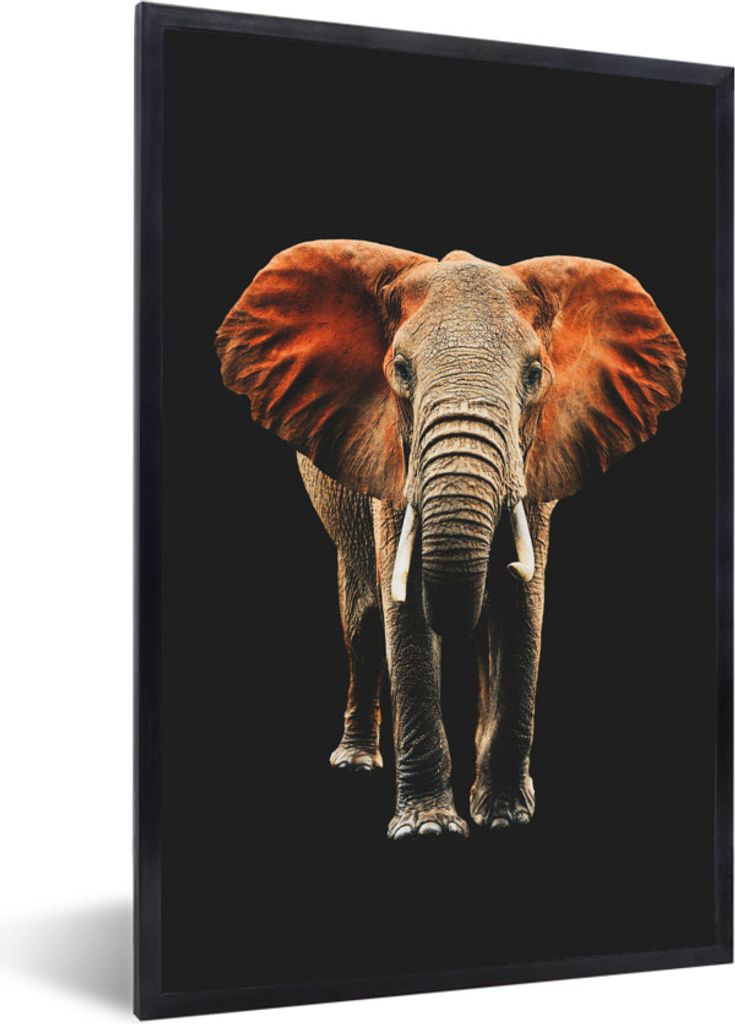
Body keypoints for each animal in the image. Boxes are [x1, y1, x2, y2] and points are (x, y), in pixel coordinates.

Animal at [215, 239, 686, 840]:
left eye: (534, 374)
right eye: (400, 369)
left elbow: (523, 608)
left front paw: (506, 816)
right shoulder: (393, 464)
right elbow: (408, 612)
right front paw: (428, 830)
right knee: (361, 620)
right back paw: (356, 763)